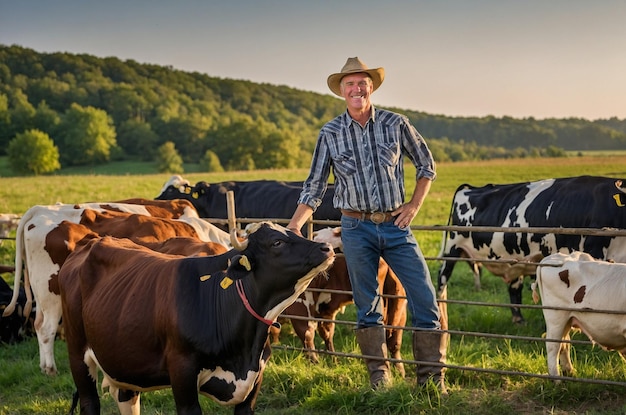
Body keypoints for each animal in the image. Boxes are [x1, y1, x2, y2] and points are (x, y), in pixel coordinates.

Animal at [2, 202, 229, 376]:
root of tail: (39, 210)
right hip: (51, 292)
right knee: (46, 328)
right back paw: (51, 370)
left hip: (41, 294)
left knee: (39, 324)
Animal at [61, 224, 336, 415]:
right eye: (277, 242)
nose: (327, 248)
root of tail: (93, 241)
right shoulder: (183, 375)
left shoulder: (254, 382)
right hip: (77, 354)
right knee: (89, 402)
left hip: (124, 360)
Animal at [436, 176, 624, 324]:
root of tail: (469, 188)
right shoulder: (595, 251)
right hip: (451, 249)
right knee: (441, 279)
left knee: (512, 287)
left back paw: (518, 319)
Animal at [532, 250, 624, 380]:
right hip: (556, 317)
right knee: (553, 345)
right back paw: (556, 380)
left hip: (567, 319)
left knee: (564, 343)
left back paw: (570, 372)